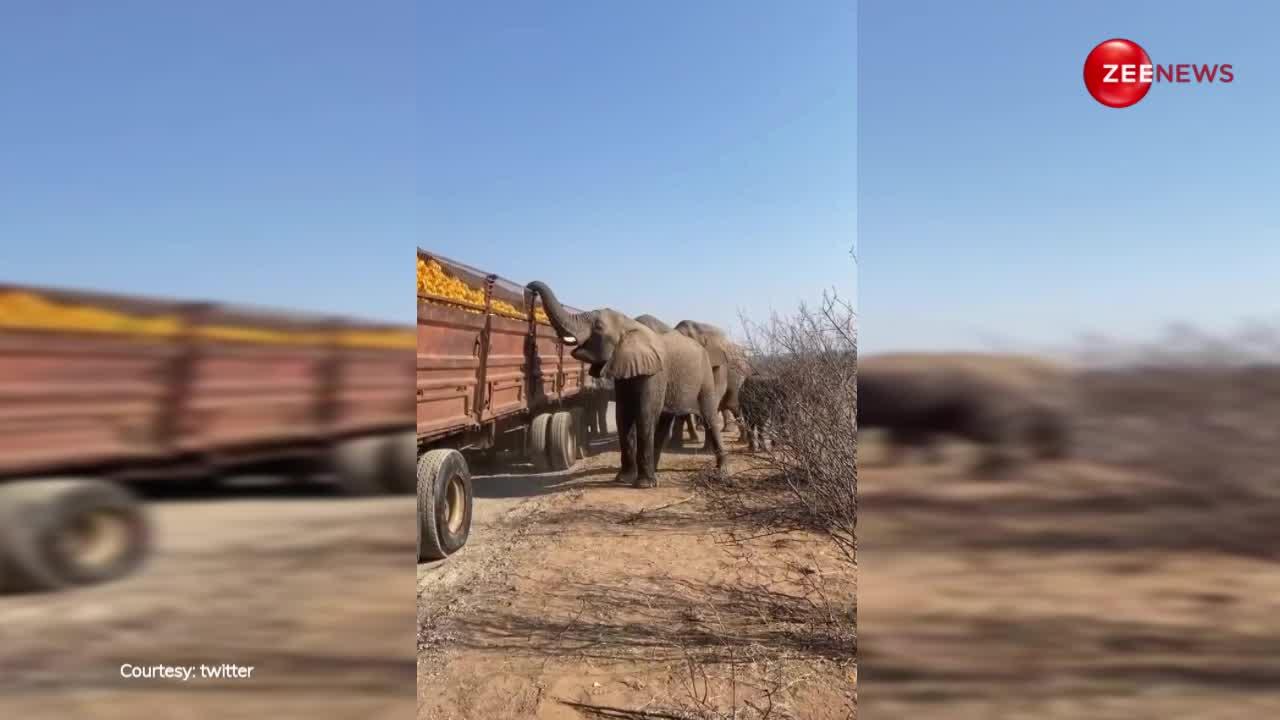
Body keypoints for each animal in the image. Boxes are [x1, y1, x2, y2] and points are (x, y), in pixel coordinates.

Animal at [524, 278, 727, 484]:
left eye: (598, 327)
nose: (529, 289)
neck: (629, 325)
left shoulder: (655, 371)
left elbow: (644, 414)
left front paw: (643, 485)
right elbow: (623, 414)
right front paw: (623, 480)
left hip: (706, 375)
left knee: (708, 414)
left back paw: (721, 470)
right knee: (665, 419)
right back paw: (656, 470)